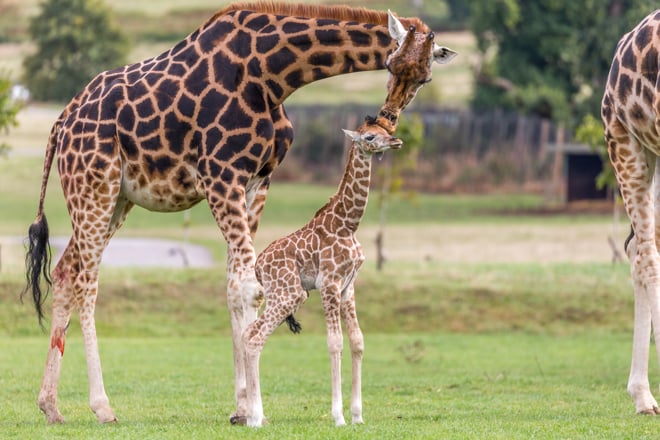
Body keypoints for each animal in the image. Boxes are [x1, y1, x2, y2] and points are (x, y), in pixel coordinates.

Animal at [242, 117, 402, 426]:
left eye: (385, 131)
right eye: (370, 137)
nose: (396, 141)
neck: (347, 224)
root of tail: (258, 266)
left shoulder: (348, 286)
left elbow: (357, 341)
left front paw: (357, 416)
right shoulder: (329, 283)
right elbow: (334, 343)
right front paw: (338, 417)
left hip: (281, 294)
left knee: (247, 334)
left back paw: (254, 415)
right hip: (291, 294)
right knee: (255, 339)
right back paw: (255, 418)